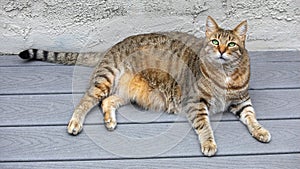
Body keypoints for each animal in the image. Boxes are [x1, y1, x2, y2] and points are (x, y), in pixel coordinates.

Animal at [19, 16, 272, 156]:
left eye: (232, 44)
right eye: (214, 41)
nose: (221, 51)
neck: (225, 73)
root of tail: (111, 46)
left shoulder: (242, 101)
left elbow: (251, 117)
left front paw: (260, 131)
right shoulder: (195, 103)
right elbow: (205, 126)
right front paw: (209, 143)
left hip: (126, 93)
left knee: (107, 101)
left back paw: (110, 120)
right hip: (106, 79)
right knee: (87, 100)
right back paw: (75, 122)